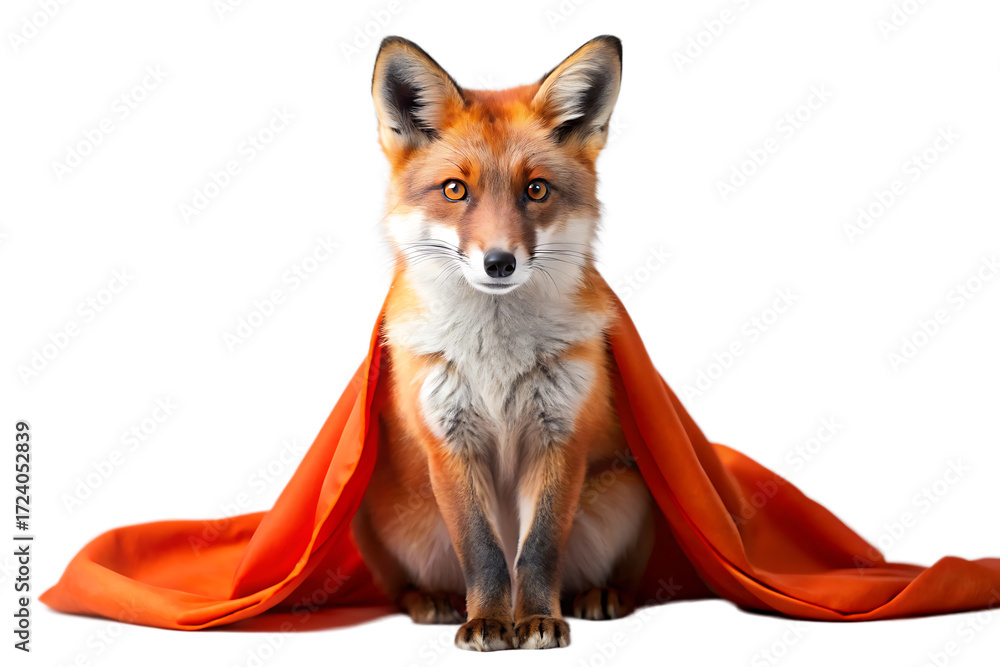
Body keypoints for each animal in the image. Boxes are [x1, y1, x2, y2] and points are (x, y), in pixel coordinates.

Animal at [350, 35, 653, 651]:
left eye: (535, 189)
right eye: (455, 190)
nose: (499, 262)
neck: (495, 360)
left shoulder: (561, 435)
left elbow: (537, 550)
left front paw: (536, 619)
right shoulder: (449, 441)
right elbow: (484, 552)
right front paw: (488, 620)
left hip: (629, 495)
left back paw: (597, 595)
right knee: (405, 586)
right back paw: (433, 601)